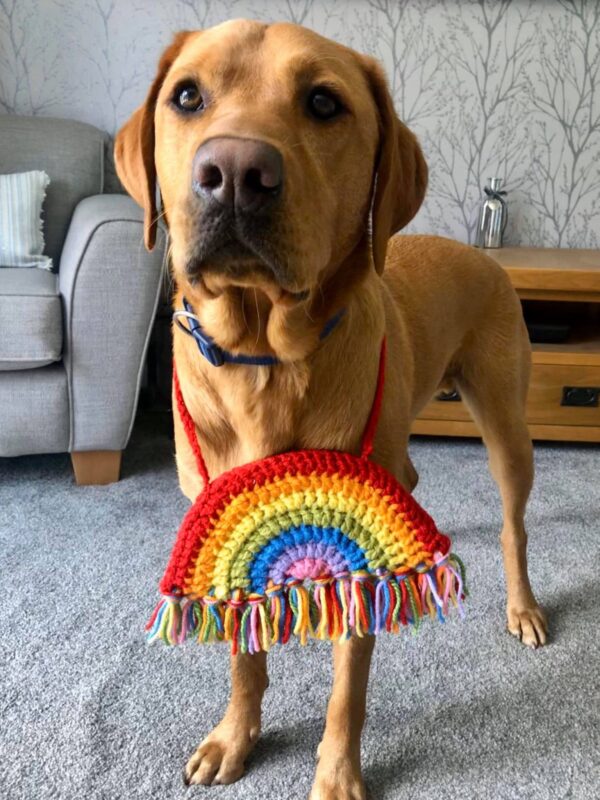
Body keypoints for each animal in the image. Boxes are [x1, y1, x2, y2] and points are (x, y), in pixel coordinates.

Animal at [113, 20, 548, 800]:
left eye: (323, 103)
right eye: (187, 96)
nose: (235, 171)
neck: (263, 357)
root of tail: (488, 256)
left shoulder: (359, 543)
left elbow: (348, 685)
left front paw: (338, 773)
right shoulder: (223, 510)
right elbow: (244, 657)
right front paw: (235, 736)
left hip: (506, 423)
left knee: (514, 527)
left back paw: (522, 605)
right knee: (414, 477)